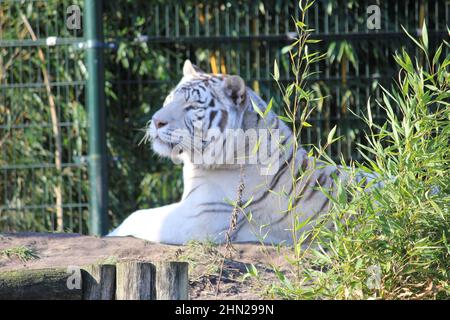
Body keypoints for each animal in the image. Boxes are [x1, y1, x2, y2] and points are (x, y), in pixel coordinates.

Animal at [108, 60, 366, 245]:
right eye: (170, 98)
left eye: (192, 106)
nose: (156, 121)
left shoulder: (199, 216)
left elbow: (136, 216)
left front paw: (112, 233)